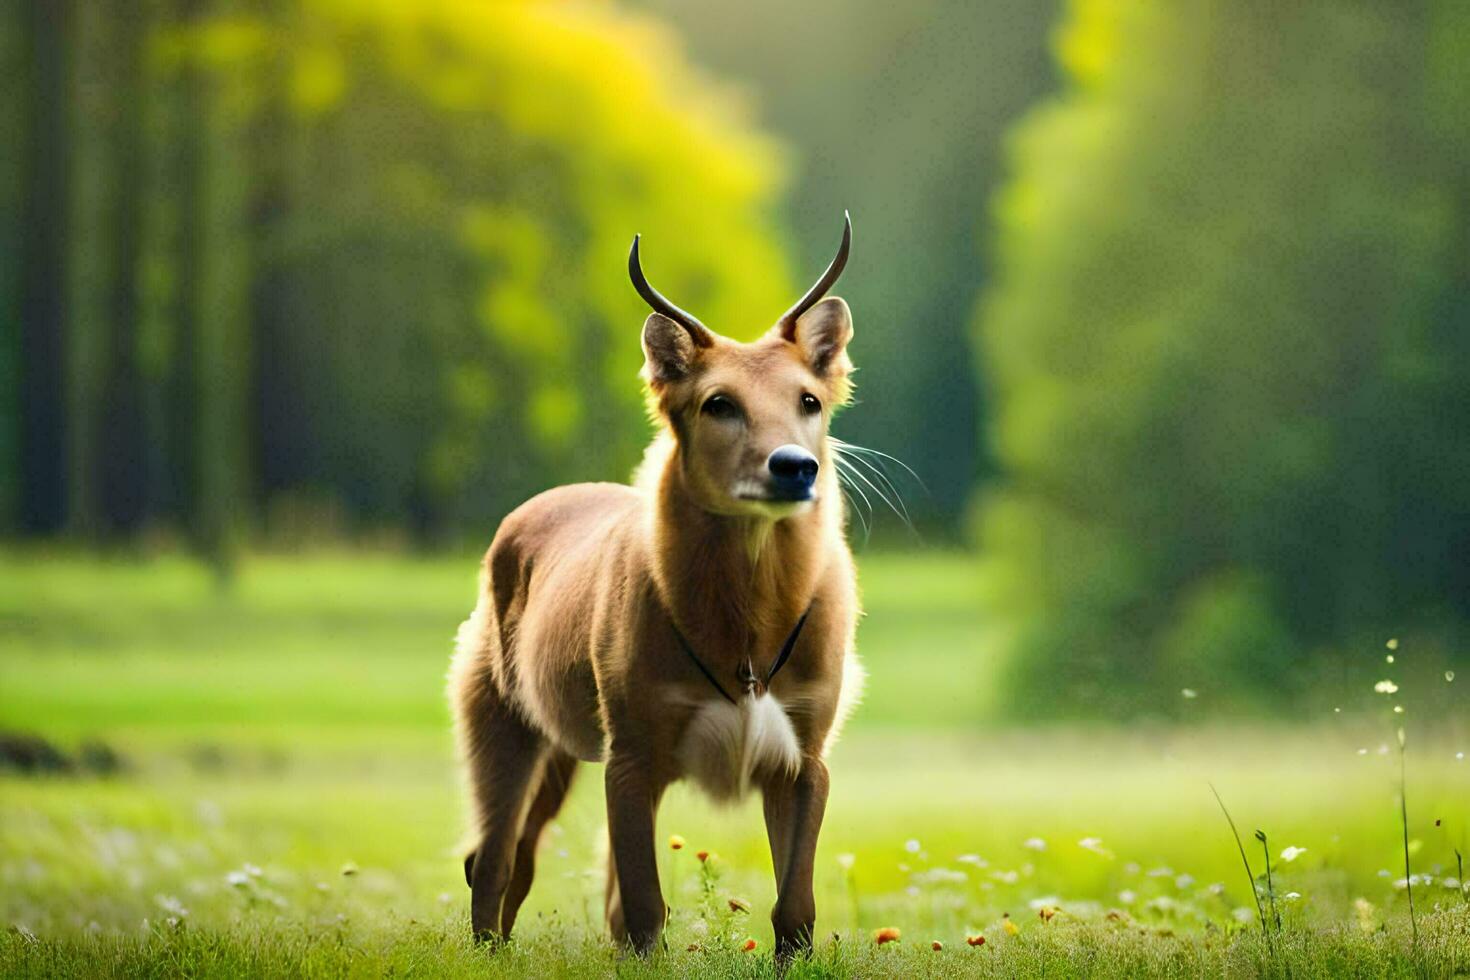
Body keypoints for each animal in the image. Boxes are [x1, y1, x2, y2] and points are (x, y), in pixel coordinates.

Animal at [446, 214, 858, 957]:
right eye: (718, 404)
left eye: (809, 401)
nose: (794, 467)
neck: (745, 619)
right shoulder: (632, 755)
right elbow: (642, 909)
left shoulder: (804, 757)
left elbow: (795, 907)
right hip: (503, 723)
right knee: (490, 858)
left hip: (560, 745)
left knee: (521, 858)